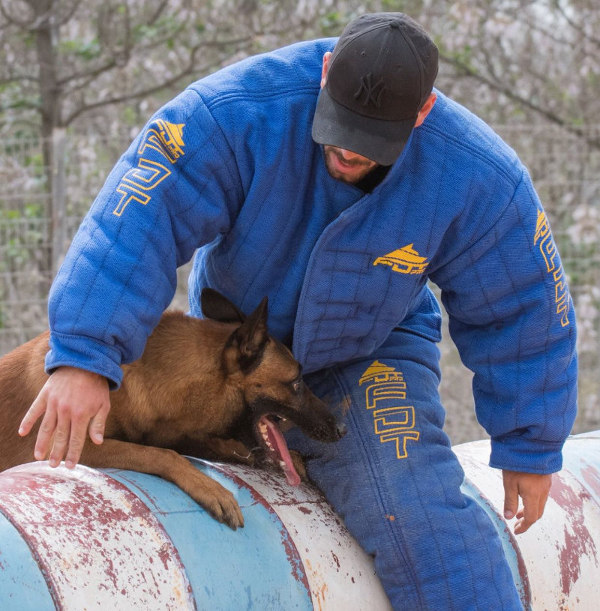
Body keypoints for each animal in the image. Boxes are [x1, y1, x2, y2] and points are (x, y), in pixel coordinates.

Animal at [0, 290, 344, 532]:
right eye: (296, 381)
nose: (342, 428)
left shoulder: (175, 432)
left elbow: (215, 444)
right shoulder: (71, 447)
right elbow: (161, 454)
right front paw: (210, 487)